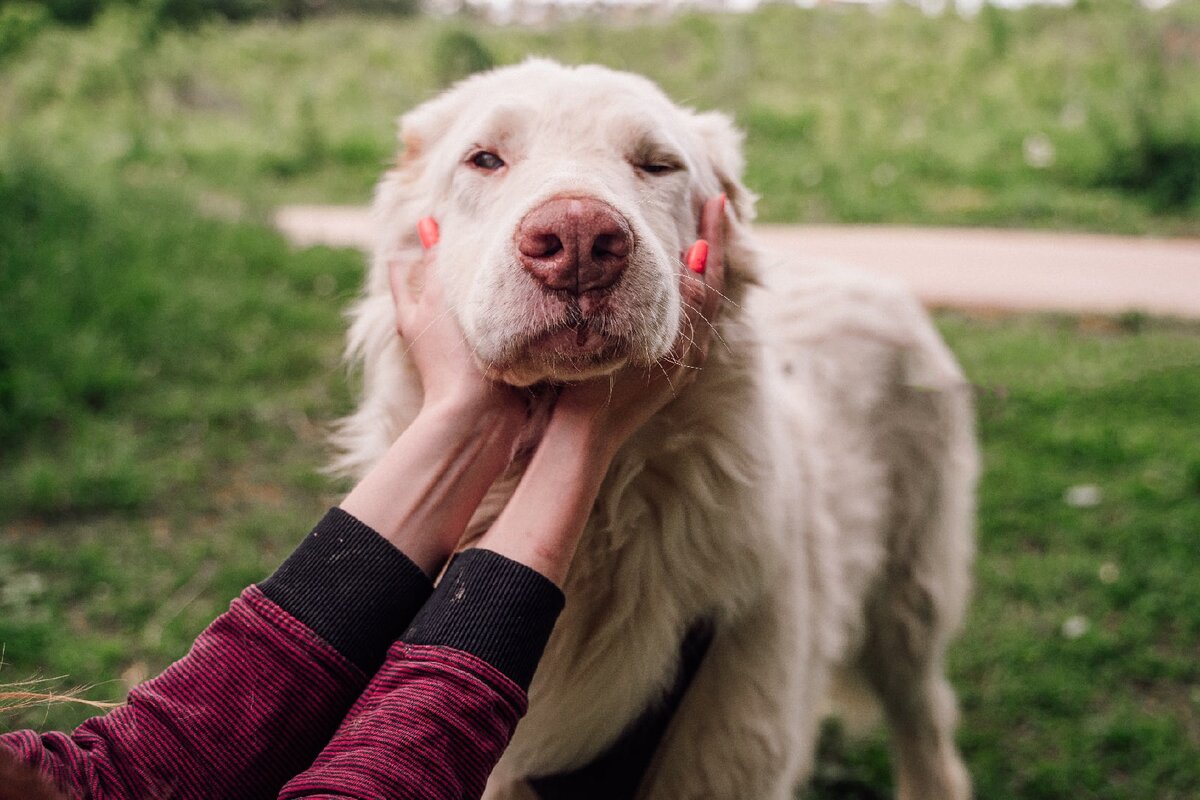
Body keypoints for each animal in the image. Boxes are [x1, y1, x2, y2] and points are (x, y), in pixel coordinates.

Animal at [333, 57, 979, 800]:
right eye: (485, 159)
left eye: (657, 165)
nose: (577, 243)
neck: (598, 530)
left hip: (907, 607)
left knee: (927, 730)